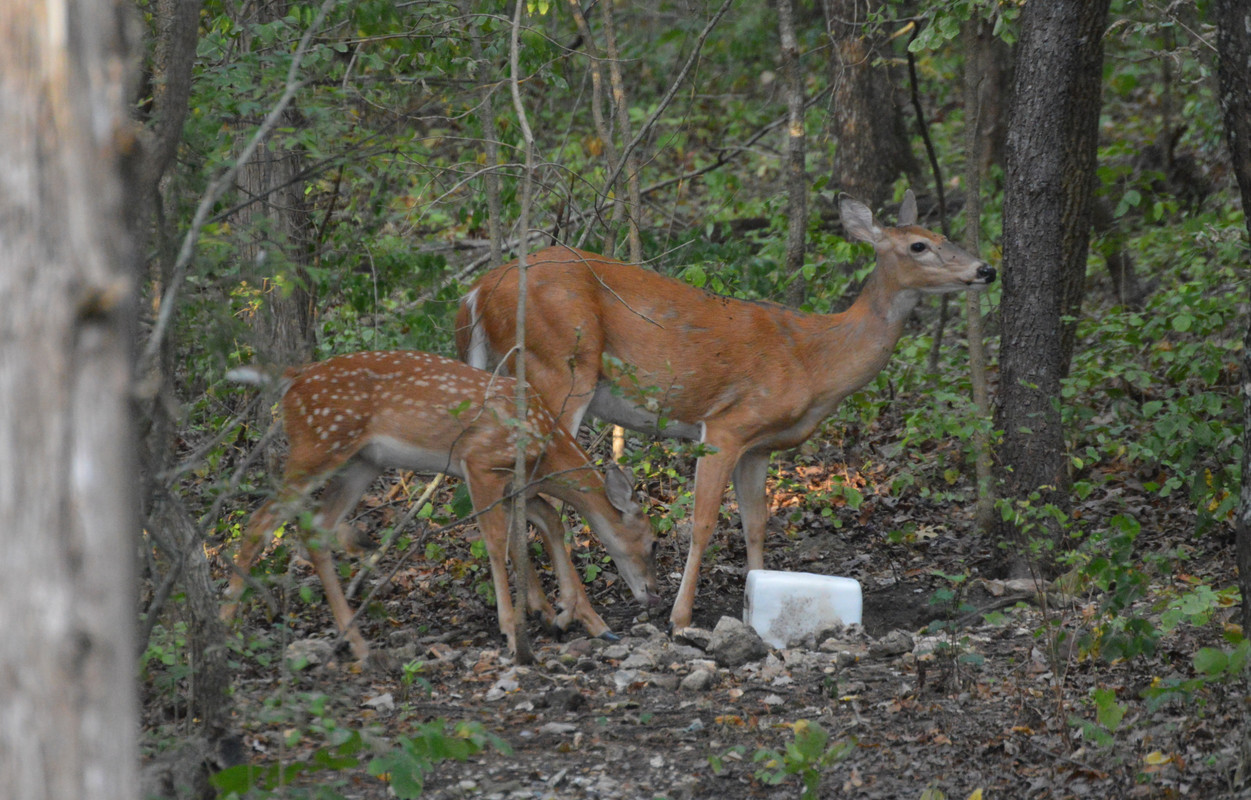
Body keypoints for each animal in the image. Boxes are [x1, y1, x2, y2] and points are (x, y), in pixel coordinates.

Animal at [221, 350, 661, 662]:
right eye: (653, 542)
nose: (653, 594)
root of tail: (293, 378)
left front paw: (578, 618)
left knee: (316, 528)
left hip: (363, 460)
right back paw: (226, 621)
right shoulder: (480, 464)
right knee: (261, 521)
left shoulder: (512, 481)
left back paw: (357, 643)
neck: (543, 444)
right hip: (318, 445)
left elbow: (550, 521)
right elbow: (497, 542)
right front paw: (513, 628)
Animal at [455, 190, 996, 630]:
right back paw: (558, 610)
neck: (814, 360)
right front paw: (680, 617)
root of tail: (475, 292)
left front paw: (757, 598)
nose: (985, 270)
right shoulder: (727, 424)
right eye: (919, 246)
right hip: (557, 372)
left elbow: (755, 523)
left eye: (944, 235)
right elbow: (703, 522)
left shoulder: (760, 446)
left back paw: (541, 607)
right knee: (530, 491)